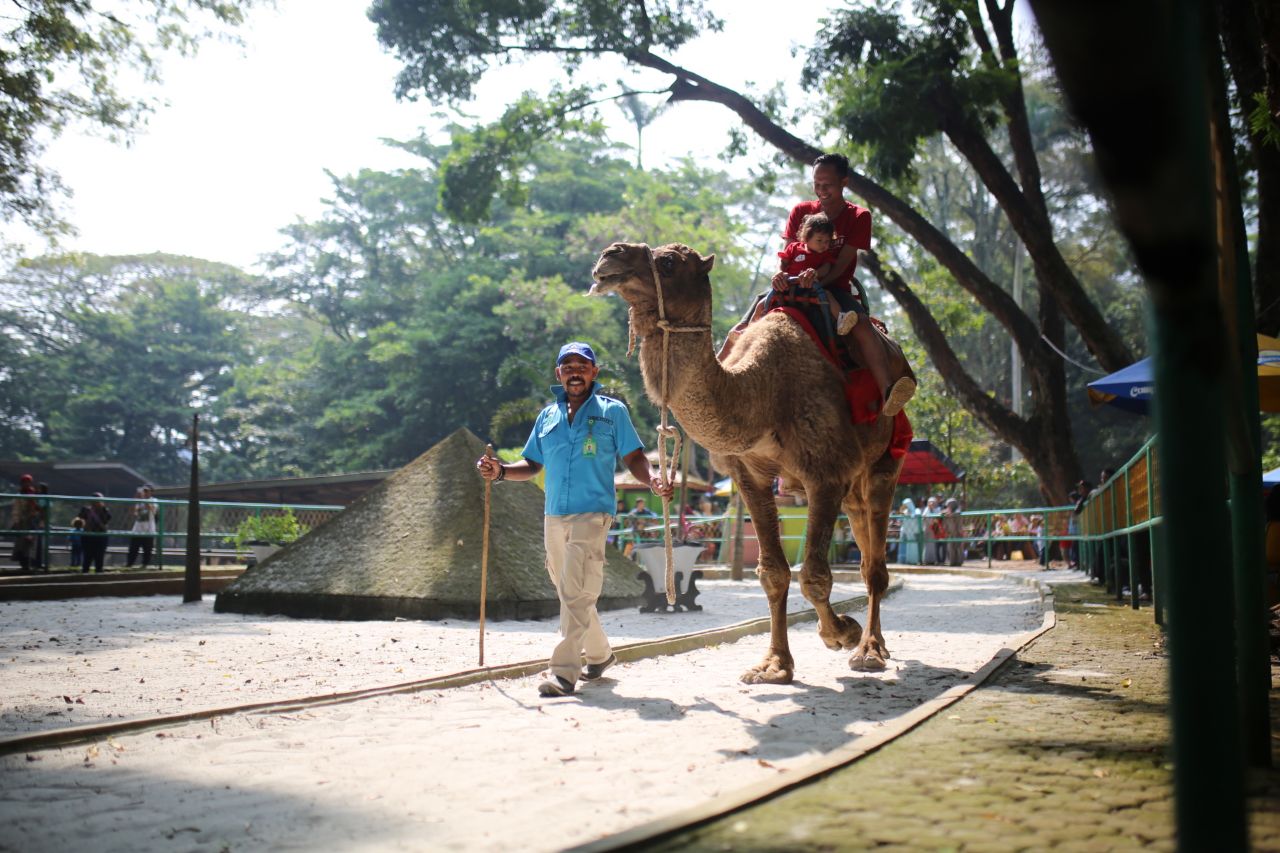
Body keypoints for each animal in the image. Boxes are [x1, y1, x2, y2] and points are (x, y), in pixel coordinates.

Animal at [591, 242, 911, 681]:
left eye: (669, 262)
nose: (609, 256)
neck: (762, 392)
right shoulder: (749, 475)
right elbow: (773, 573)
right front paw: (774, 666)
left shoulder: (825, 472)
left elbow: (813, 574)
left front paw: (842, 632)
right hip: (853, 481)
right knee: (864, 547)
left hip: (886, 457)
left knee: (876, 563)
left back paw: (870, 650)